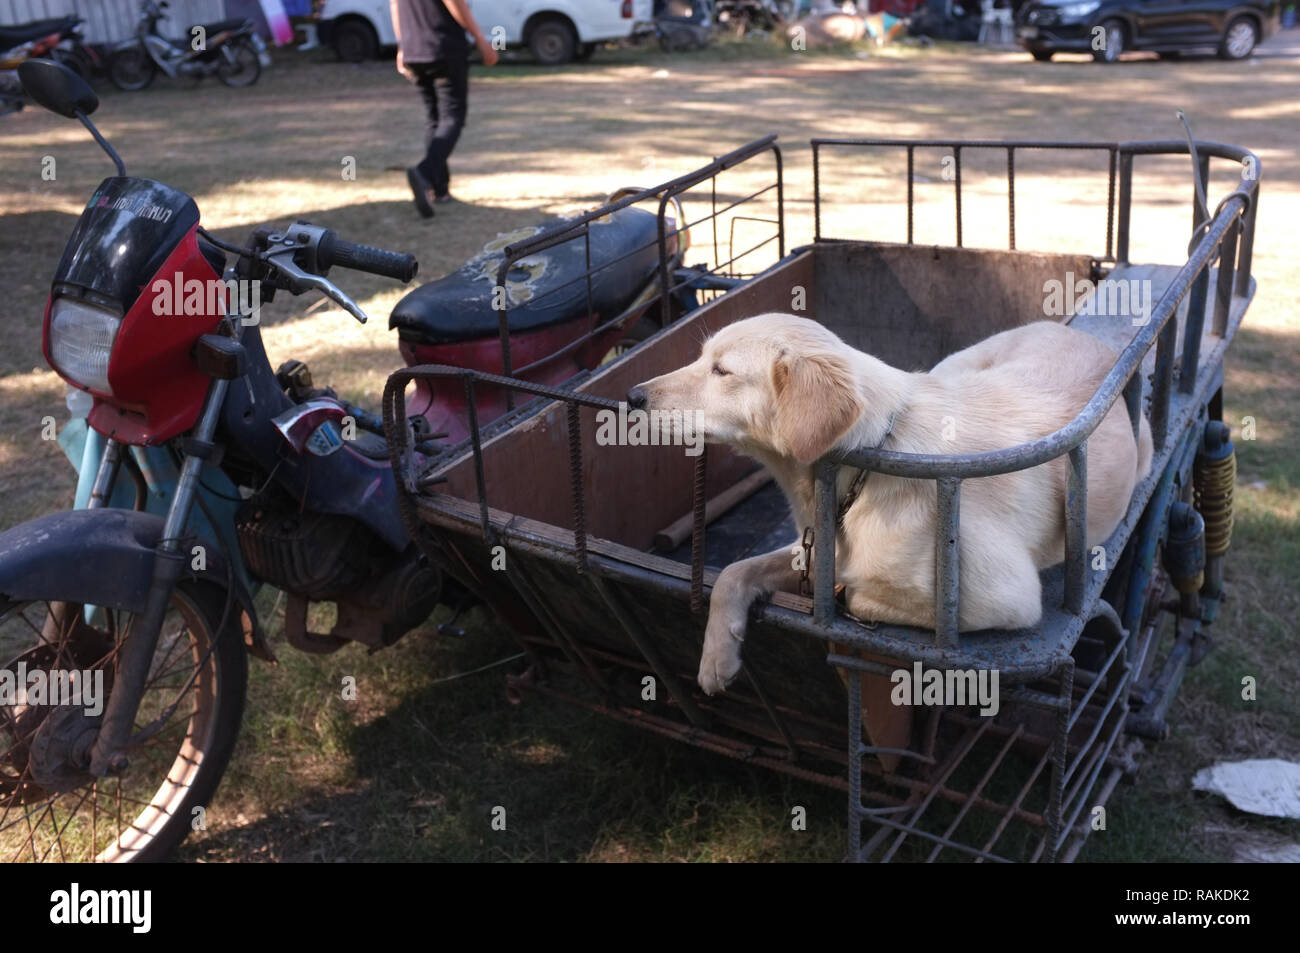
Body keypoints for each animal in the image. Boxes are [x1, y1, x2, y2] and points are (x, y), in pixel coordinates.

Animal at [626, 315, 1149, 696]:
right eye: (701, 358)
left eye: (722, 371)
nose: (632, 395)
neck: (870, 463)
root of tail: (1075, 332)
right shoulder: (813, 547)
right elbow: (733, 574)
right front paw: (717, 656)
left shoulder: (1006, 599)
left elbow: (855, 596)